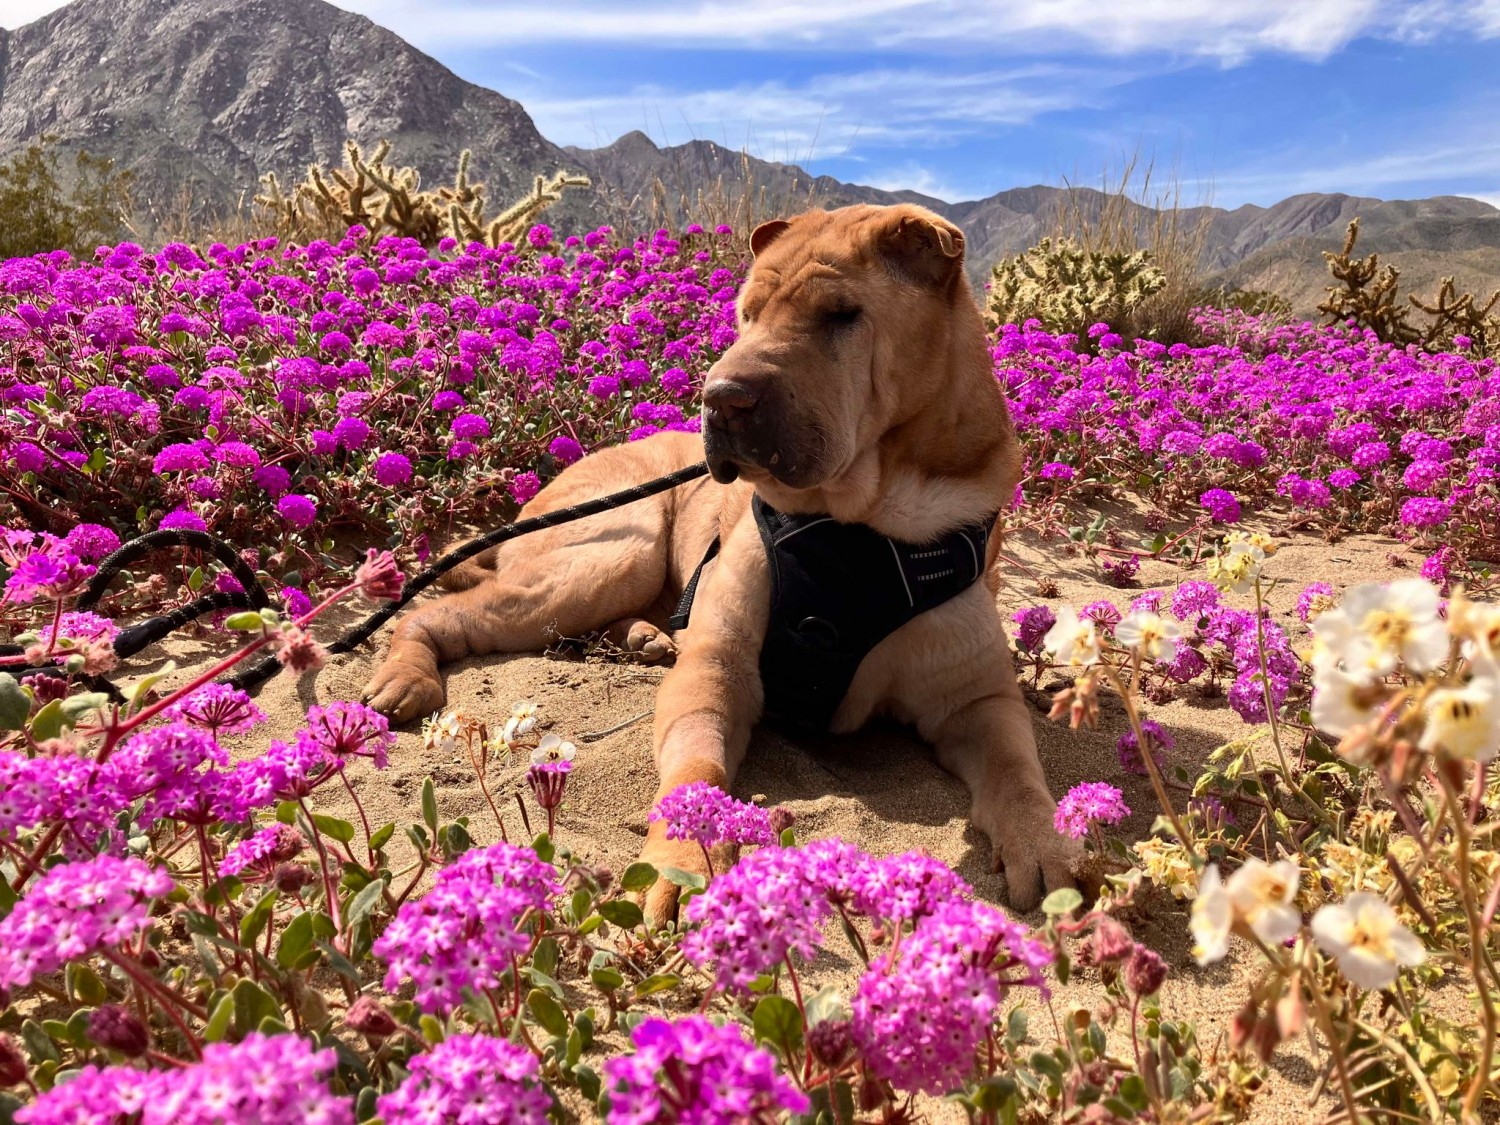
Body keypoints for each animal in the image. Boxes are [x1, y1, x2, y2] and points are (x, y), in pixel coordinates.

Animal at [369, 205, 1086, 918]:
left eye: (841, 314)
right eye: (746, 313)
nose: (720, 398)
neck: (860, 528)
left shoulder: (976, 700)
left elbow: (1018, 771)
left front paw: (1042, 839)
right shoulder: (716, 673)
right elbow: (699, 774)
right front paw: (687, 857)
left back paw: (642, 636)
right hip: (614, 555)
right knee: (434, 611)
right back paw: (407, 676)